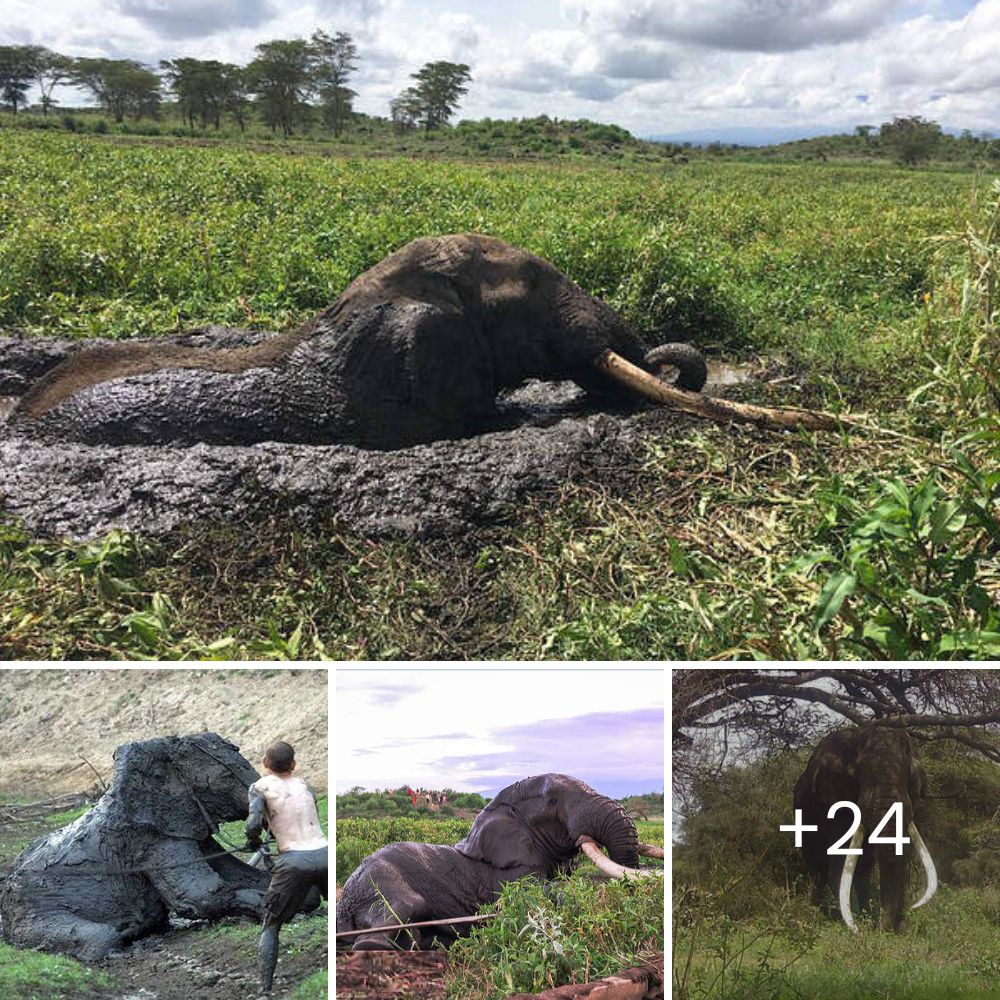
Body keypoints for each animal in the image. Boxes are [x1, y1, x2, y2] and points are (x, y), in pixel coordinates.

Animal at [0, 732, 276, 956]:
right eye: (224, 776)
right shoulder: (149, 841)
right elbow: (199, 897)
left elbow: (236, 873)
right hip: (38, 906)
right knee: (102, 939)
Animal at [788, 728, 936, 928]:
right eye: (857, 774)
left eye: (908, 774)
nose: (885, 929)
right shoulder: (835, 802)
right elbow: (840, 862)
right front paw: (847, 923)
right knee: (818, 867)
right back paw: (822, 912)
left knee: (864, 868)